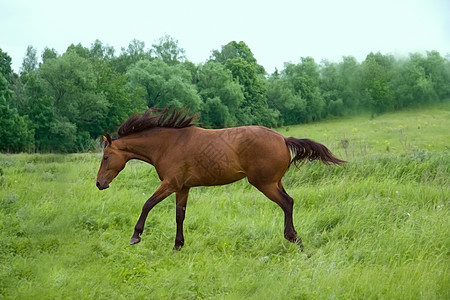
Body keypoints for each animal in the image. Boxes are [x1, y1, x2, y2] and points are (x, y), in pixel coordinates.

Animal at [96, 106, 346, 250]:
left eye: (106, 157)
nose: (99, 183)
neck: (167, 145)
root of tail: (283, 139)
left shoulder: (169, 184)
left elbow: (147, 204)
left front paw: (135, 236)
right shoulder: (182, 187)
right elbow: (179, 216)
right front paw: (178, 246)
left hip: (264, 184)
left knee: (286, 203)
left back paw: (293, 239)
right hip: (275, 182)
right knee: (290, 201)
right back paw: (297, 240)